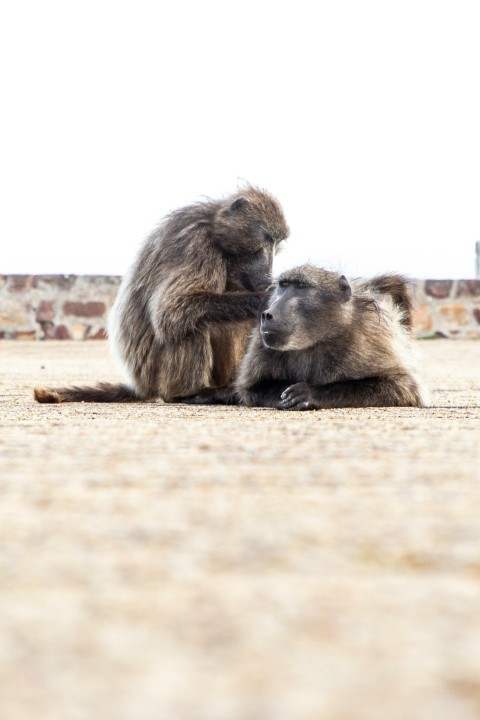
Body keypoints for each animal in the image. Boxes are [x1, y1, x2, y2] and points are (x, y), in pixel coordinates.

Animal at [33, 186, 289, 404]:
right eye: (267, 238)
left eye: (277, 242)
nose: (268, 272)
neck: (214, 229)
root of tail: (139, 385)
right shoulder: (196, 245)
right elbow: (171, 309)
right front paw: (263, 298)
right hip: (155, 373)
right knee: (188, 325)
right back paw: (191, 394)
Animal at [235, 264, 428, 410]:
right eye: (283, 284)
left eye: (301, 286)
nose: (268, 314)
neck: (318, 339)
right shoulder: (262, 343)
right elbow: (253, 388)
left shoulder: (369, 336)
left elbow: (402, 386)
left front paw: (308, 393)